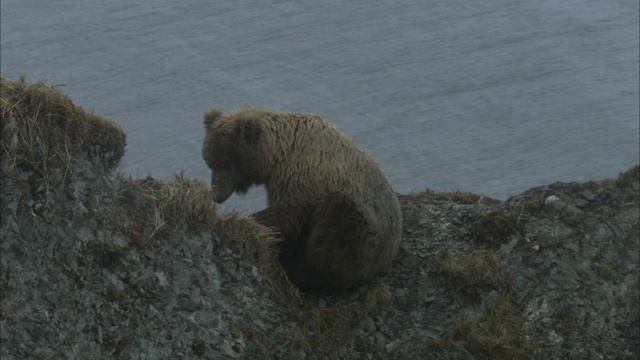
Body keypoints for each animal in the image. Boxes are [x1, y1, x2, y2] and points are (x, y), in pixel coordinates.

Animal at [201, 107, 400, 290]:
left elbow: (288, 214)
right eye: (210, 162)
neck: (278, 155)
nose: (216, 195)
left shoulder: (302, 179)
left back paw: (299, 273)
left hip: (363, 230)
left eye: (227, 163)